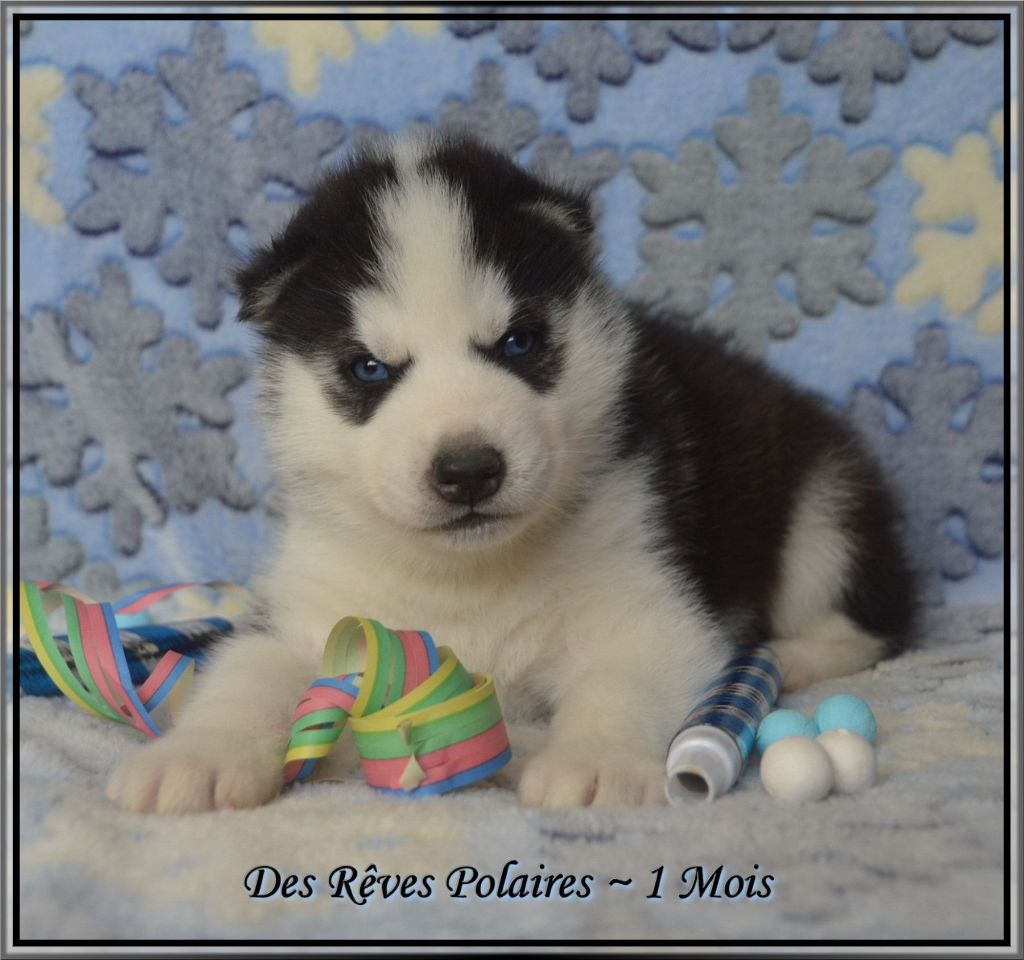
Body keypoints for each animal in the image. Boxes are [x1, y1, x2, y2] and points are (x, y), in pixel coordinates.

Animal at [106, 133, 916, 814]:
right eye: (368, 368)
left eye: (519, 342)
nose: (468, 470)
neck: (469, 574)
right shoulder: (314, 604)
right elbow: (249, 673)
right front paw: (195, 756)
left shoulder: (649, 603)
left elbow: (620, 680)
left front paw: (592, 761)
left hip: (825, 504)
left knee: (870, 618)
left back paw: (794, 655)